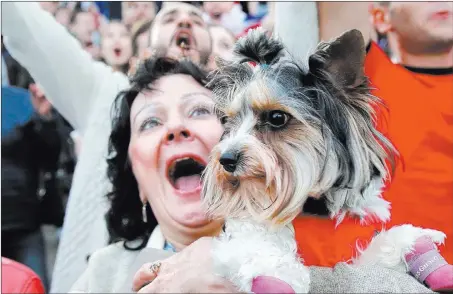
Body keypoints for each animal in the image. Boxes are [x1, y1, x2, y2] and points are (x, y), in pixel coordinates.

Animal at [202, 28, 448, 292]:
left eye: (277, 117)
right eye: (227, 121)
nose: (226, 159)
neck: (315, 209)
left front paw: (415, 240)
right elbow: (253, 247)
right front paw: (275, 276)